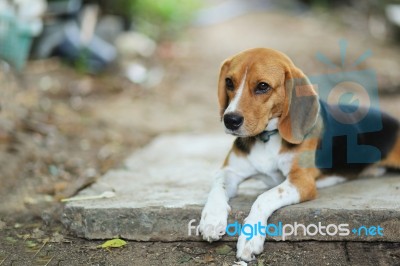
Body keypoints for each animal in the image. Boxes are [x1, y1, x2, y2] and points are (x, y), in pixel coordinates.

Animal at [198, 47, 400, 262]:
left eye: (263, 86)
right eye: (229, 82)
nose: (230, 120)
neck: (267, 138)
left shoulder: (301, 181)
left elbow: (264, 197)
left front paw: (250, 237)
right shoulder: (230, 172)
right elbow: (217, 187)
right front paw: (212, 219)